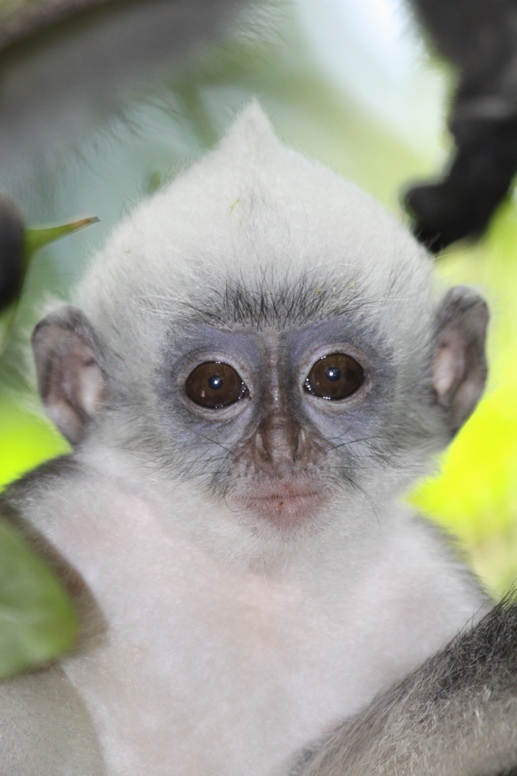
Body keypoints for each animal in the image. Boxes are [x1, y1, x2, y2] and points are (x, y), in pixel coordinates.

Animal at [0, 102, 510, 776]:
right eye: (215, 385)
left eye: (334, 376)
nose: (281, 449)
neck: (260, 580)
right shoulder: (58, 520)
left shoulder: (432, 591)